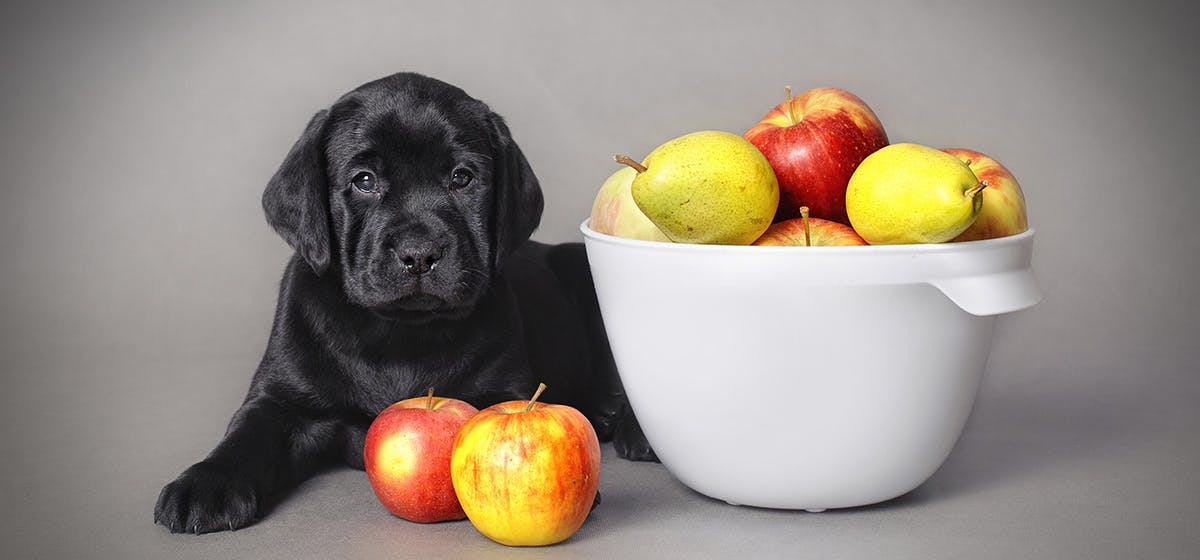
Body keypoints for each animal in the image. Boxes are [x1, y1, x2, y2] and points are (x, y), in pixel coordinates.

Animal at [154, 72, 657, 537]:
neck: (398, 331)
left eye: (462, 178)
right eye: (364, 181)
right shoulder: (280, 400)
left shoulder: (505, 387)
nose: (419, 253)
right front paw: (206, 483)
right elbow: (246, 435)